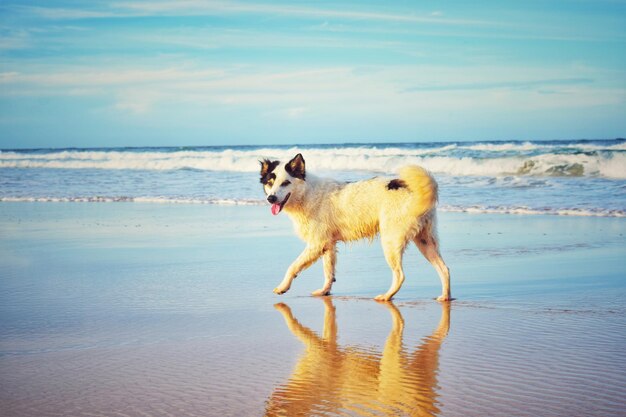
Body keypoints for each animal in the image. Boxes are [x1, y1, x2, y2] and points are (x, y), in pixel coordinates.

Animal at [258, 153, 448, 300]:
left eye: (285, 183)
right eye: (269, 183)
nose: (271, 198)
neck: (306, 193)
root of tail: (413, 189)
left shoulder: (316, 244)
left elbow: (293, 266)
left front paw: (282, 287)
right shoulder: (328, 245)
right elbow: (328, 272)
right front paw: (324, 291)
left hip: (391, 241)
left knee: (400, 275)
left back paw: (386, 296)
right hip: (425, 241)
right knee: (444, 269)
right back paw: (445, 297)